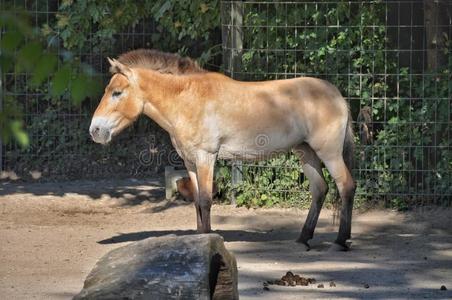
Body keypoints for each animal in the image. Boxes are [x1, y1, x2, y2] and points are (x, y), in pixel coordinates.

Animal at [89, 48, 356, 251]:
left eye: (117, 93)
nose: (95, 130)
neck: (187, 99)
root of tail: (337, 95)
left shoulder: (206, 157)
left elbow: (206, 200)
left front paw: (208, 239)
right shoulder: (190, 162)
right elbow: (197, 201)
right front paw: (199, 240)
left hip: (329, 153)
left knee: (346, 186)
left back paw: (340, 241)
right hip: (305, 152)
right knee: (320, 189)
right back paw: (303, 238)